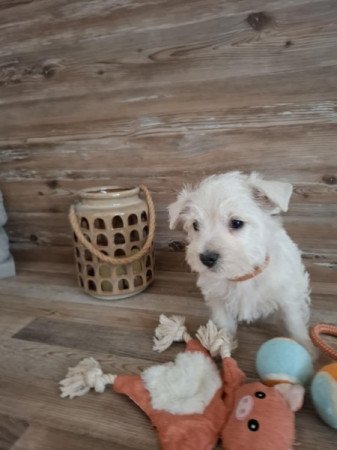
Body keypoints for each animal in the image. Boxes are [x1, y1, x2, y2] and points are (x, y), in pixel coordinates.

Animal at [168, 172, 312, 356]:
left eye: (236, 222)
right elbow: (224, 325)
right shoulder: (217, 299)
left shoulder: (286, 297)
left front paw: (307, 349)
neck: (242, 274)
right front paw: (223, 345)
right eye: (195, 225)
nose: (206, 258)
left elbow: (294, 322)